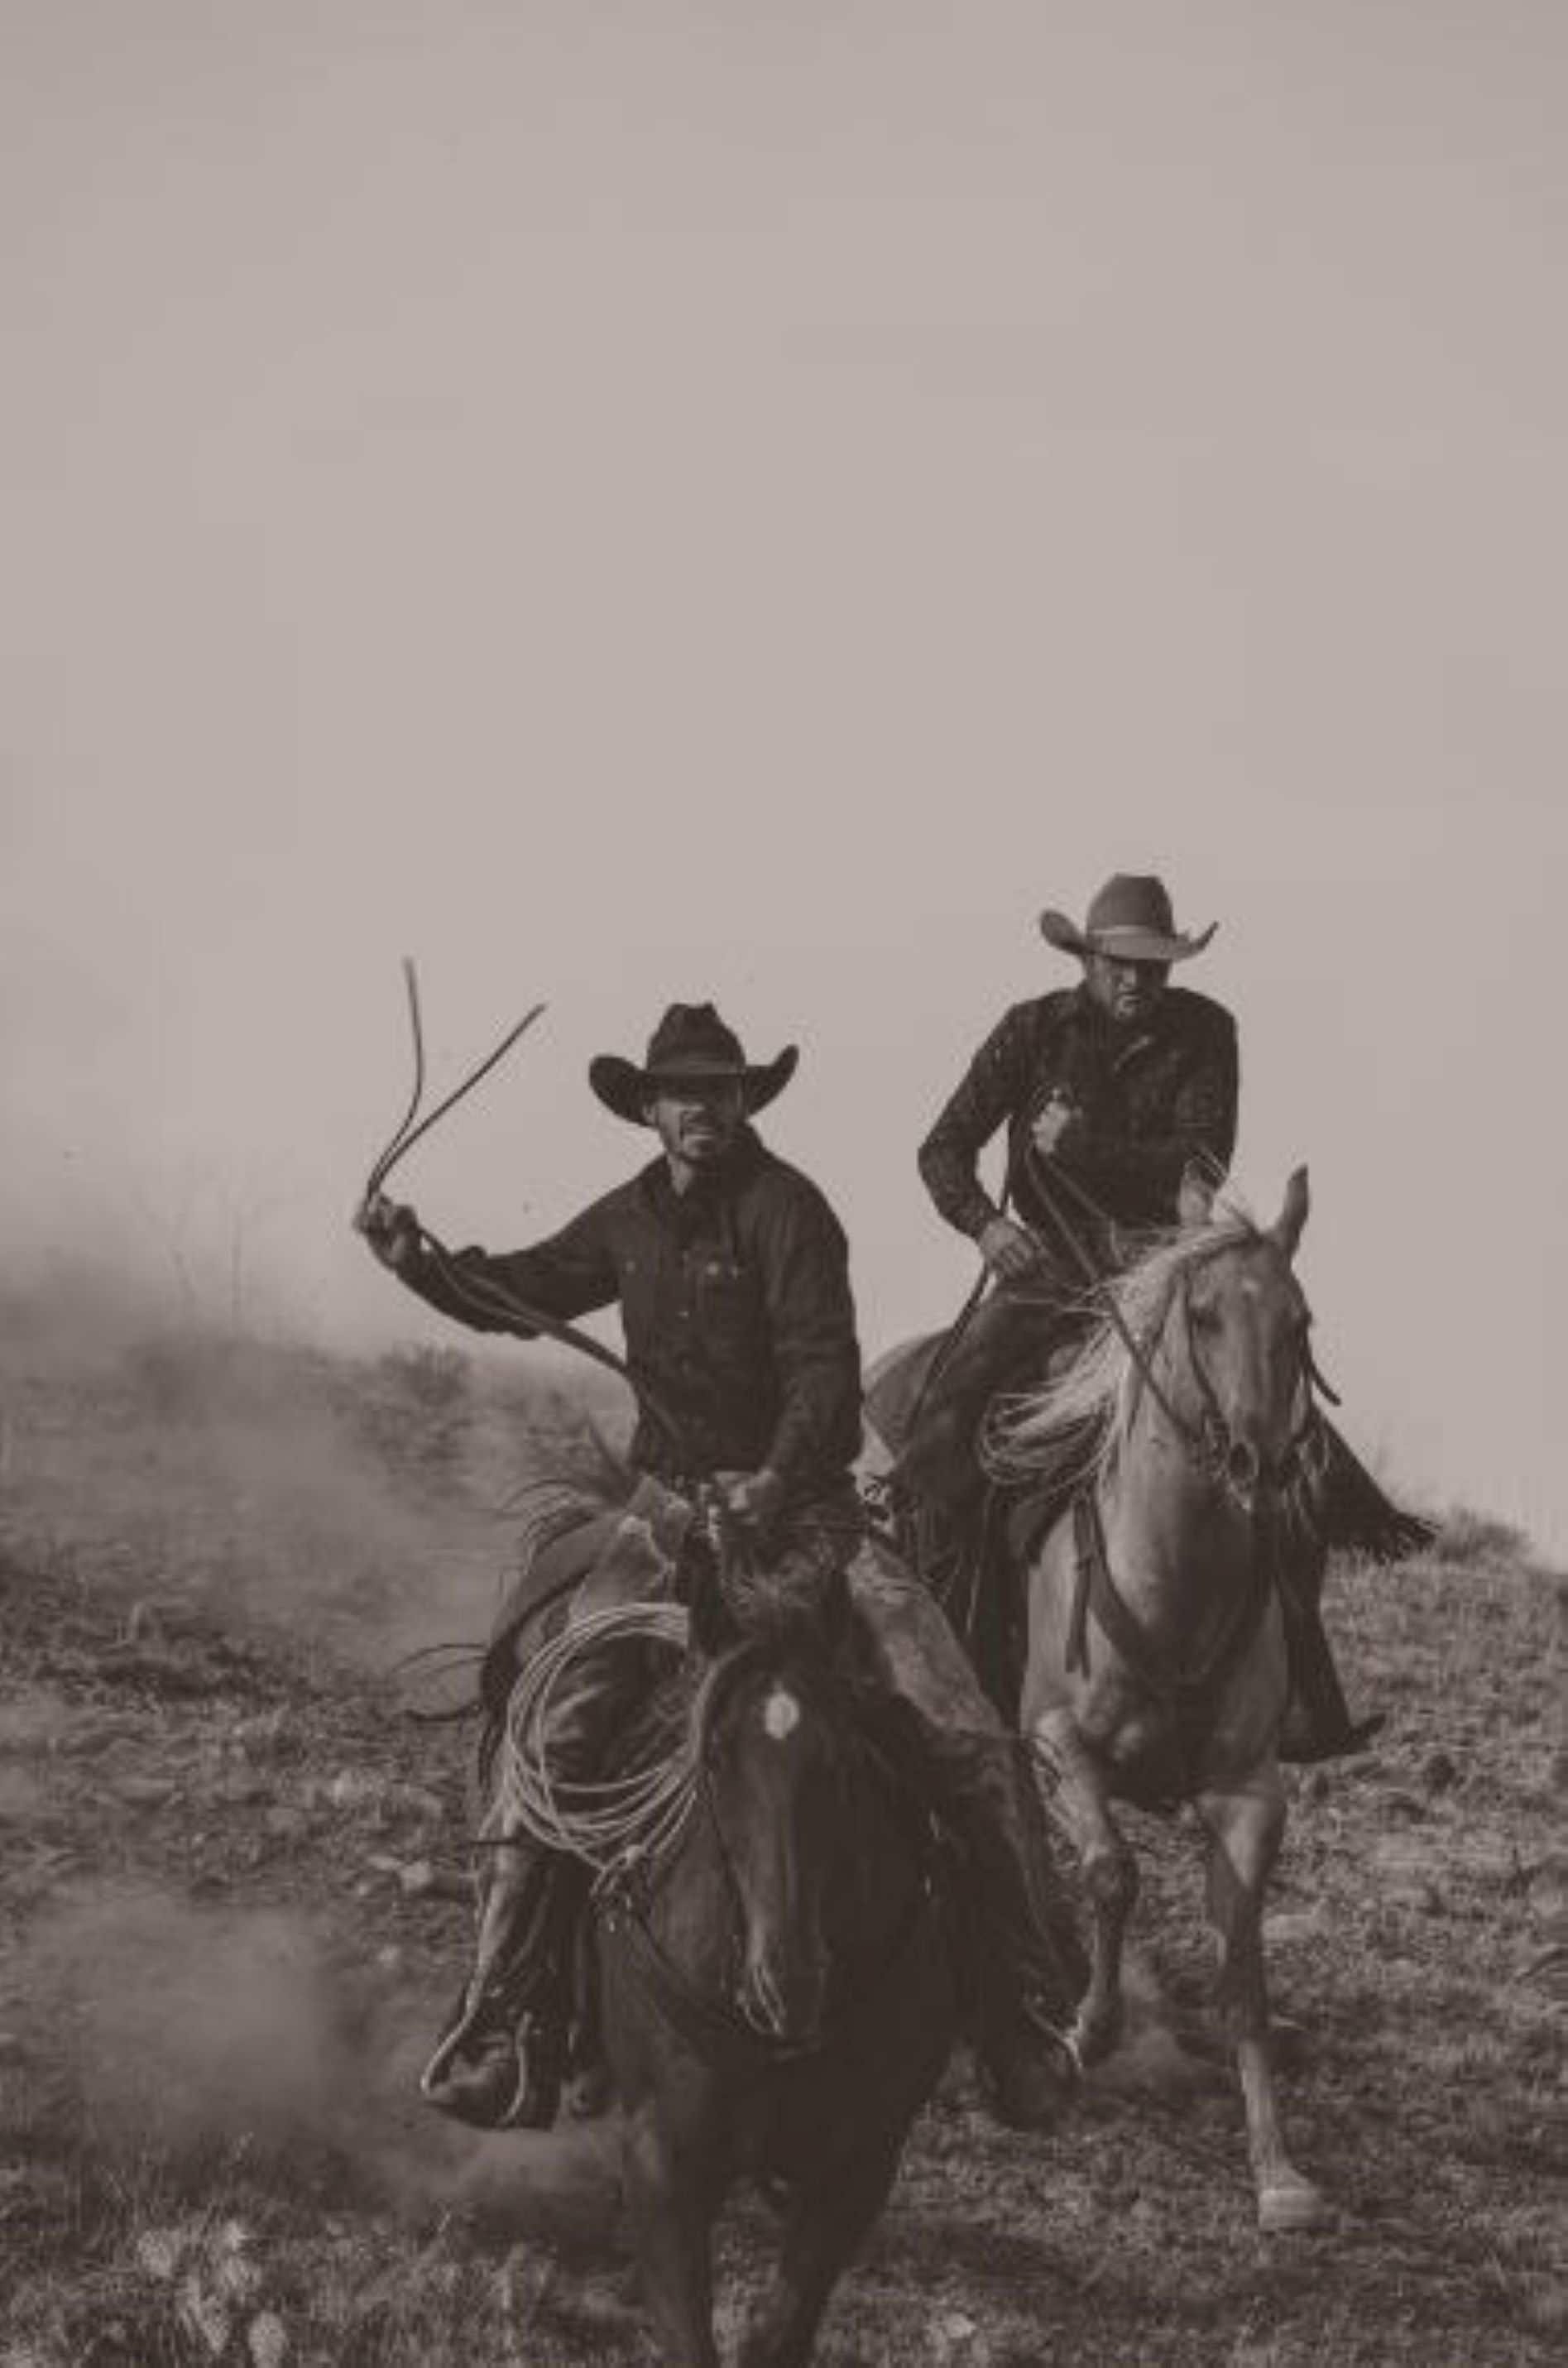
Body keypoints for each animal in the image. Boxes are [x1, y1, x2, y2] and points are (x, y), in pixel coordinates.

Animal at [873, 1169, 1337, 2234]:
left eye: (1296, 1322)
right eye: (1202, 1315)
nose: (1256, 1464)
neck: (1174, 1585)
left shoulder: (1249, 1794)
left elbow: (1240, 1964)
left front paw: (1277, 2169)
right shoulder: (1057, 1743)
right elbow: (1112, 1873)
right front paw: (1086, 2028)